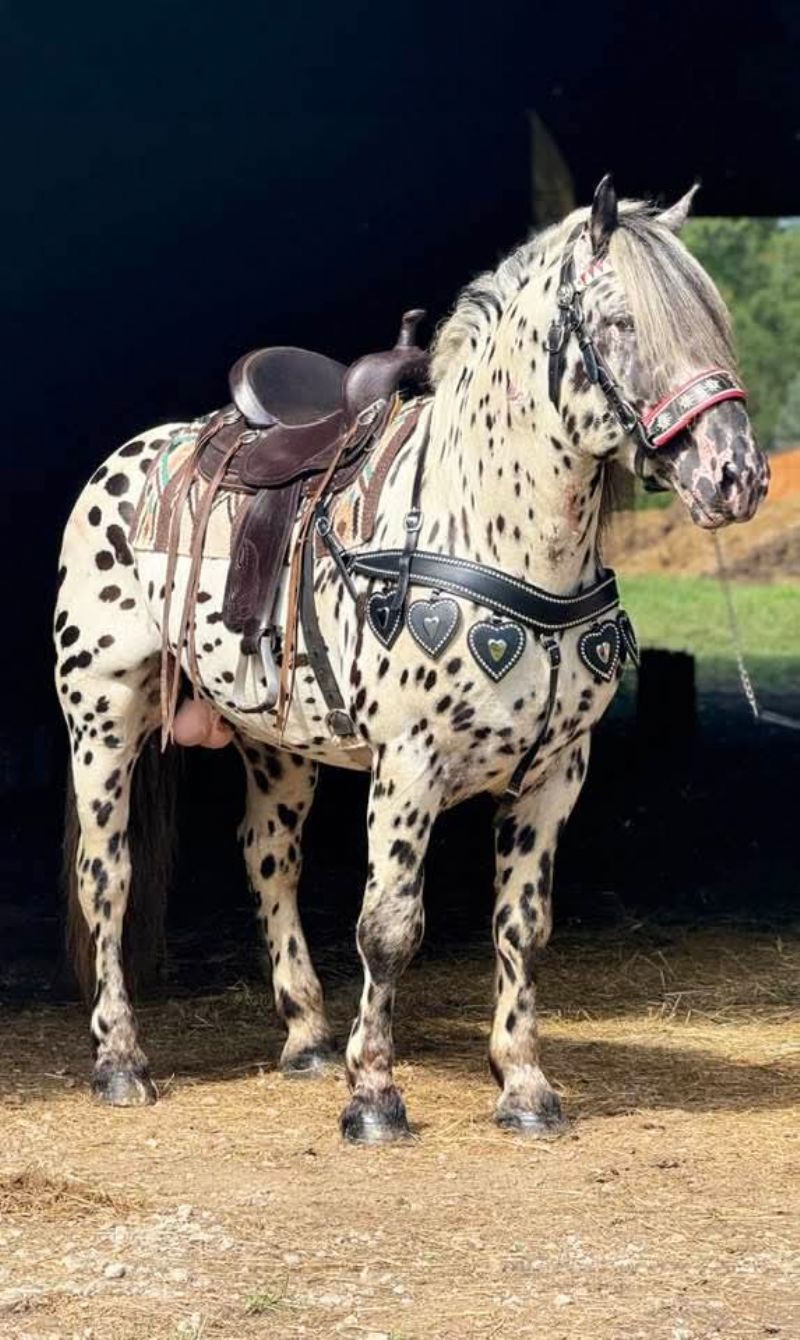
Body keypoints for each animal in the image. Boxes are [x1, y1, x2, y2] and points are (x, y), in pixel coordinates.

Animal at [54, 177, 768, 1143]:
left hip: (277, 747)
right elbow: (389, 927)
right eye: (621, 320)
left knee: (269, 858)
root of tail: (123, 464)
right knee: (108, 881)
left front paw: (525, 1088)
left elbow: (523, 926)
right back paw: (122, 1061)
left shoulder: (557, 774)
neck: (488, 529)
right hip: (102, 721)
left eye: (710, 319)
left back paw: (307, 1038)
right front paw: (374, 1099)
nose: (736, 476)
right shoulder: (409, 766)